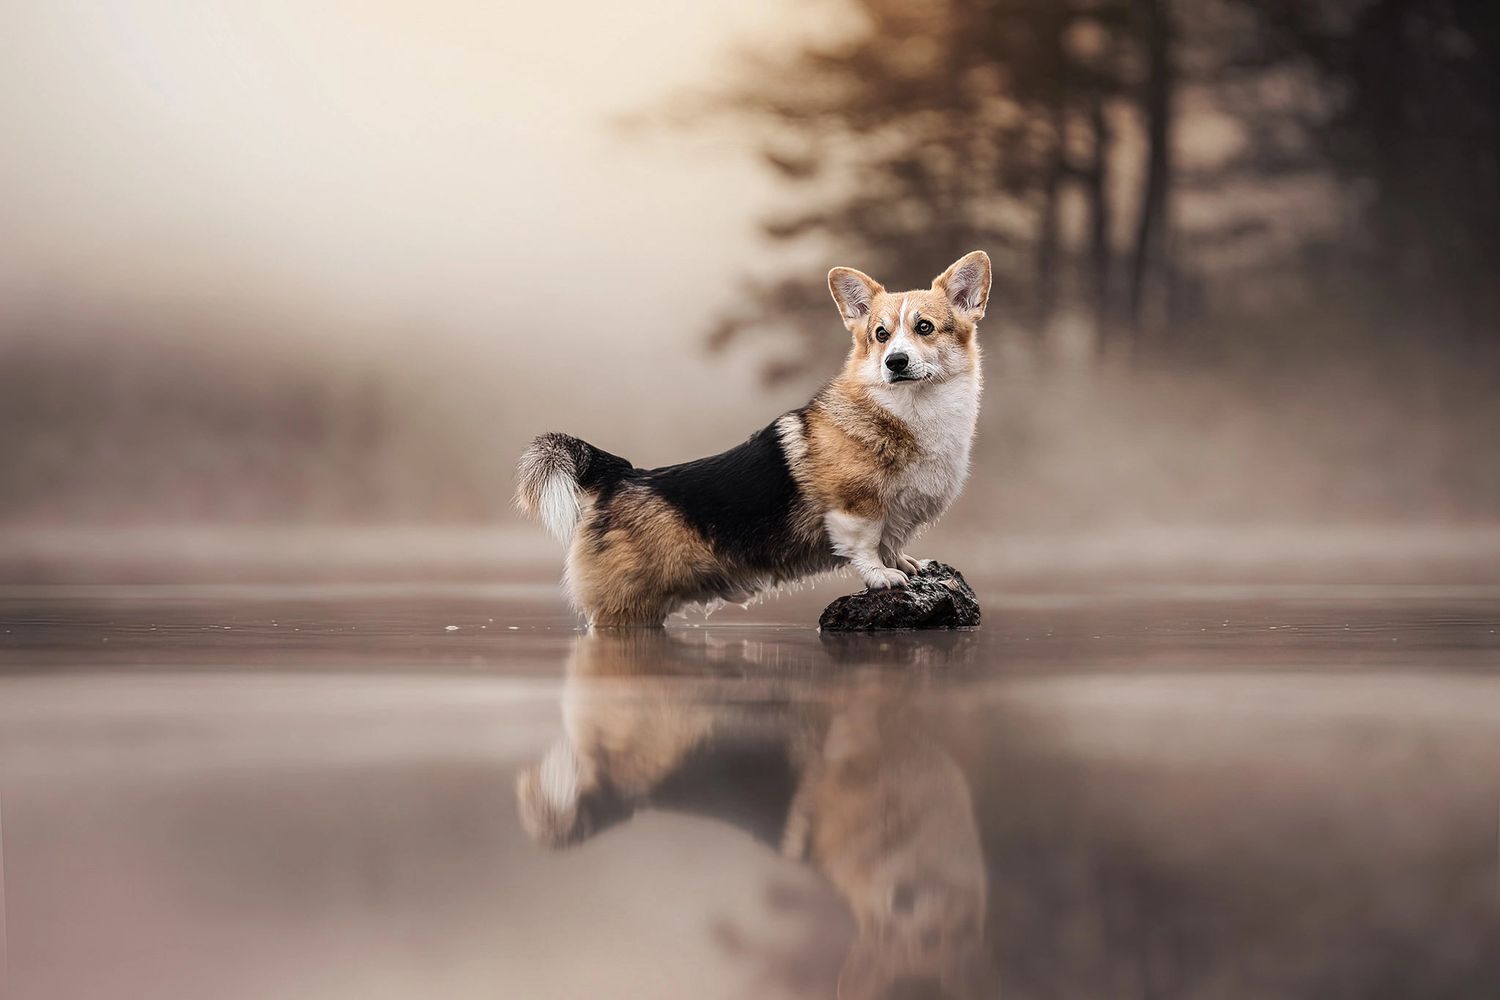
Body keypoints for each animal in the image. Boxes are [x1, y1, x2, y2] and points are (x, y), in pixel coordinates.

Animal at [516, 250, 996, 626]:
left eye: (925, 327)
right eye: (881, 334)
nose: (895, 362)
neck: (912, 411)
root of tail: (619, 476)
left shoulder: (898, 514)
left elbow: (893, 541)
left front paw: (906, 565)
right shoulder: (854, 506)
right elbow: (865, 544)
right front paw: (882, 575)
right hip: (625, 610)